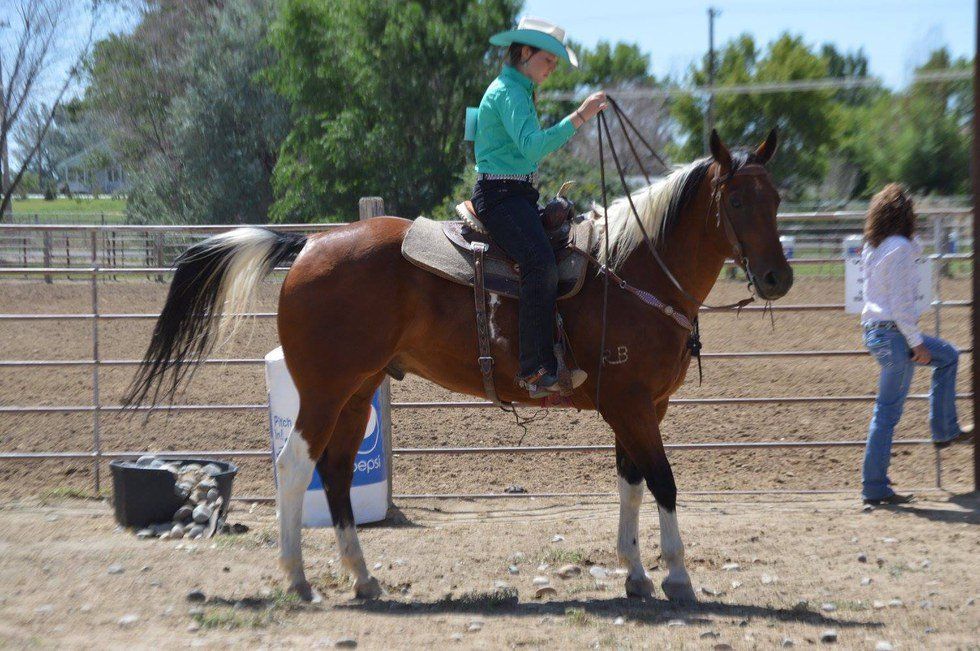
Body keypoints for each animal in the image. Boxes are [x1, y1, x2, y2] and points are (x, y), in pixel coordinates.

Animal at [126, 130, 792, 604]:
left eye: (778, 198)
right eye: (736, 199)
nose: (778, 277)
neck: (635, 271)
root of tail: (311, 243)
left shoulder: (640, 405)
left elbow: (631, 481)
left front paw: (635, 574)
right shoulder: (629, 404)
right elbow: (664, 482)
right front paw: (676, 577)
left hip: (359, 389)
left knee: (336, 472)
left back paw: (362, 578)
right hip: (324, 389)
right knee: (295, 465)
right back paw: (296, 577)